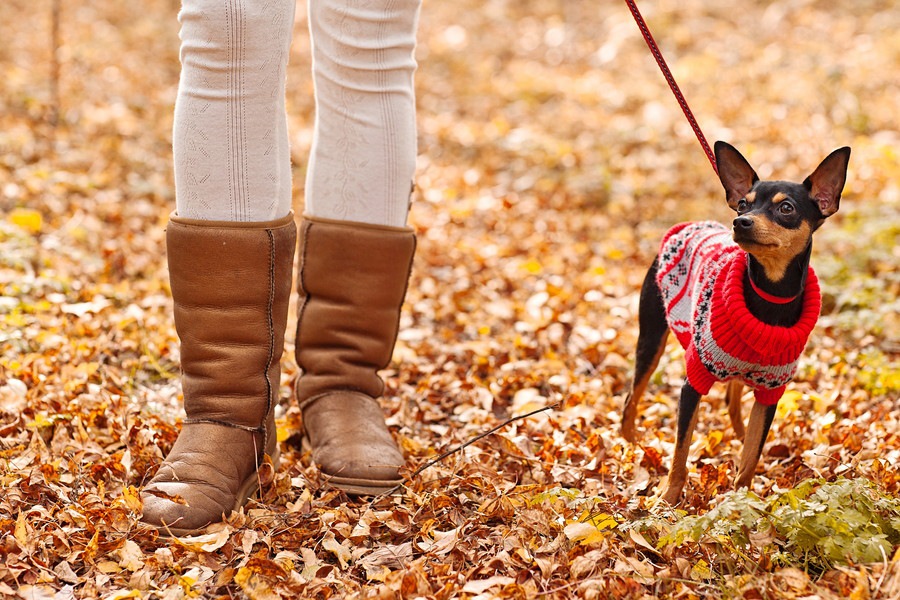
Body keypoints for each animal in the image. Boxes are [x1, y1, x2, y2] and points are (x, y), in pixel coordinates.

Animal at [624, 141, 848, 502]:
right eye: (744, 203)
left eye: (786, 208)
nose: (741, 221)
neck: (769, 298)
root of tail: (688, 224)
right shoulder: (693, 381)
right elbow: (681, 451)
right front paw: (668, 498)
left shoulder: (771, 391)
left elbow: (751, 456)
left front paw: (742, 500)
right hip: (651, 338)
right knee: (631, 398)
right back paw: (632, 446)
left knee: (733, 401)